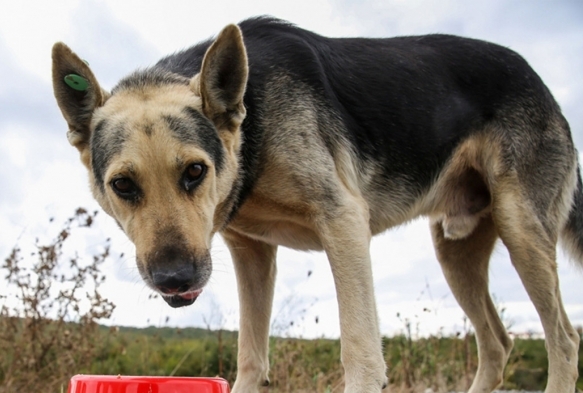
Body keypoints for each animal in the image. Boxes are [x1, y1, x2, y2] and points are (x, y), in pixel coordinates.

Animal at [52, 16, 580, 392]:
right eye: (123, 185)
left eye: (195, 172)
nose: (174, 279)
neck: (252, 125)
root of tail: (540, 83)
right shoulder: (251, 254)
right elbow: (251, 359)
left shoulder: (343, 223)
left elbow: (361, 355)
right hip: (455, 251)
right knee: (498, 344)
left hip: (521, 230)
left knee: (563, 340)